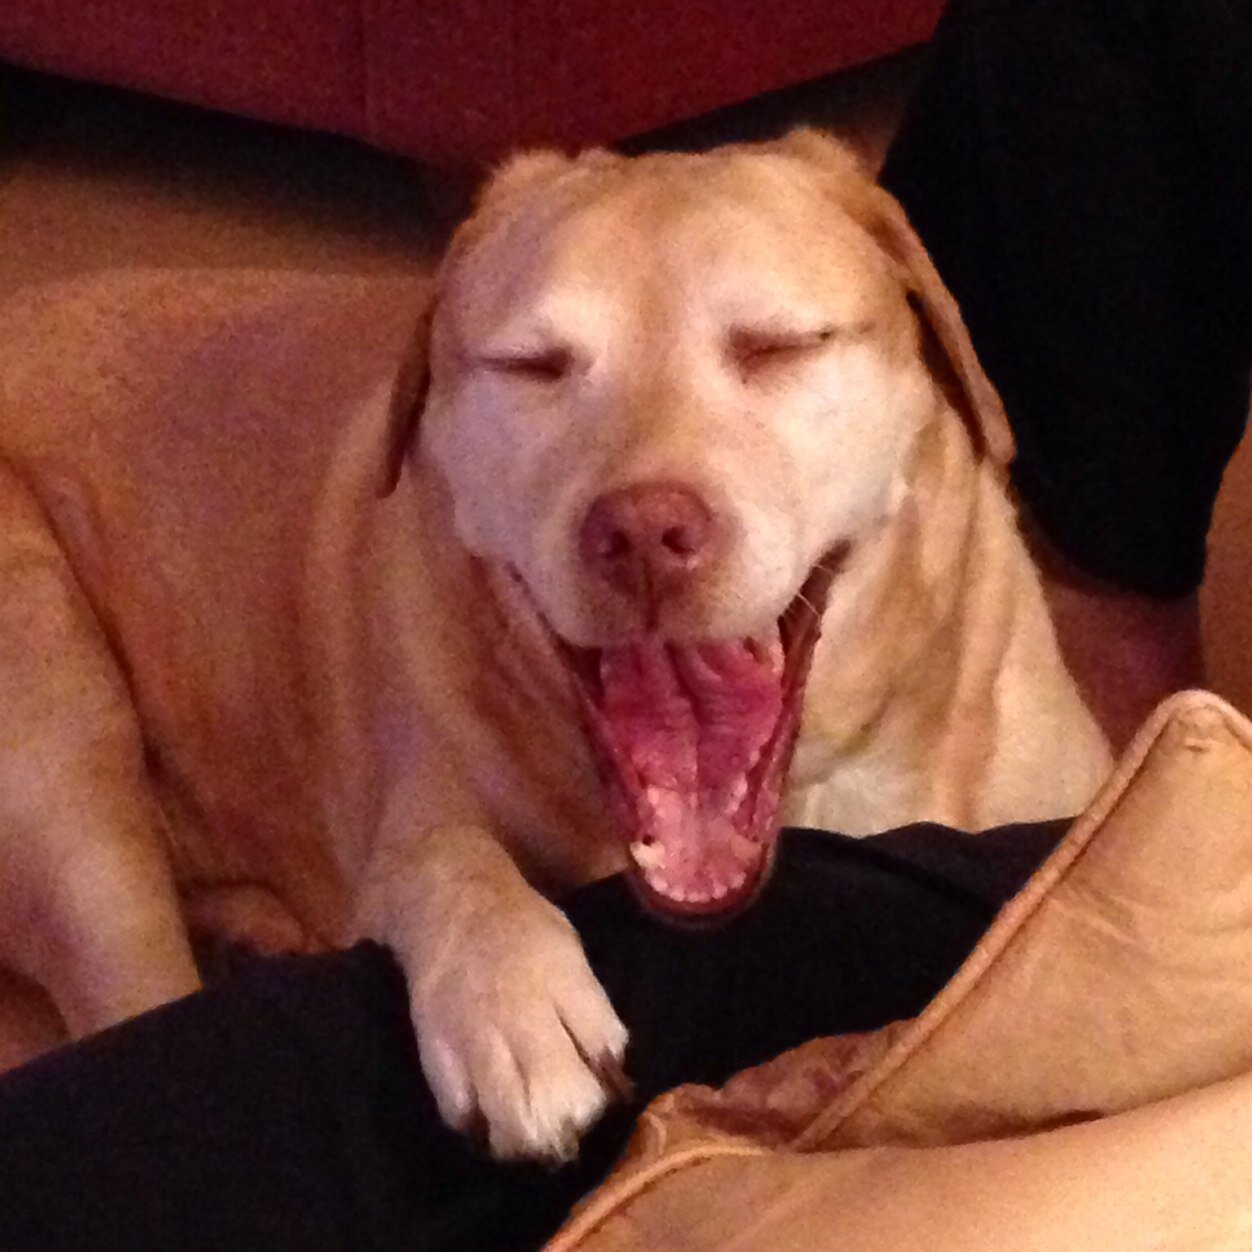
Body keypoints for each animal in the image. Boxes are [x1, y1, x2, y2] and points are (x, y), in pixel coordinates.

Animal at [0, 132, 1111, 1156]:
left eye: (778, 347)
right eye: (531, 368)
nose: (644, 532)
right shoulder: (410, 813)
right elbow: (446, 859)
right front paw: (511, 996)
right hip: (66, 746)